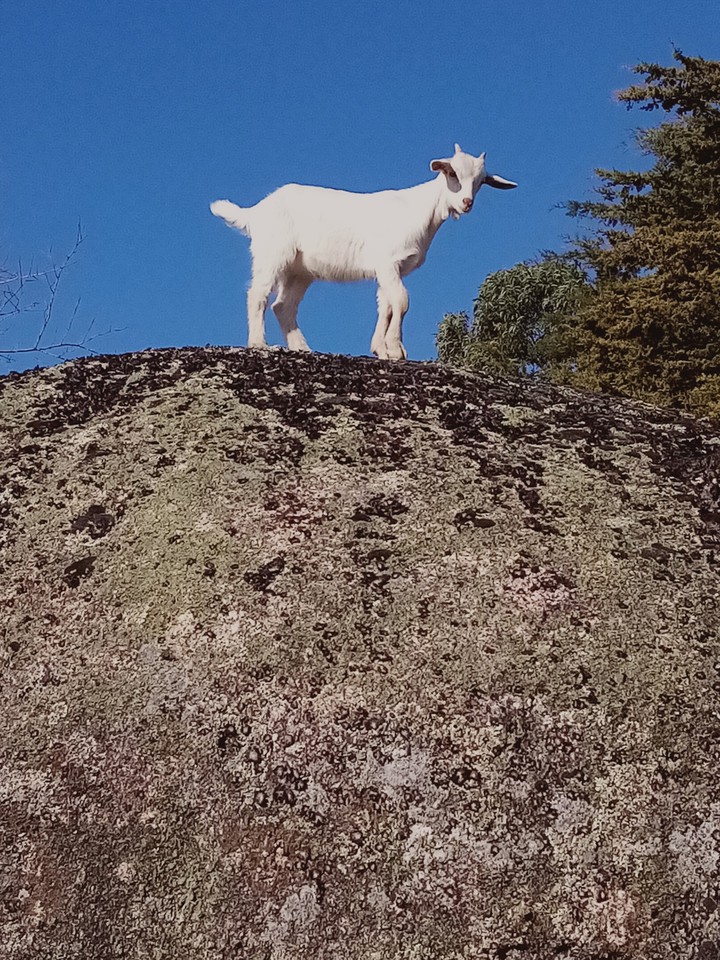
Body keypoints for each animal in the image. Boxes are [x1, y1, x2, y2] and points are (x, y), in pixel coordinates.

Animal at [210, 144, 516, 360]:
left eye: (481, 182)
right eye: (451, 173)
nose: (466, 203)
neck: (422, 210)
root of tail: (255, 212)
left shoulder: (389, 269)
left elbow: (387, 305)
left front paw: (381, 349)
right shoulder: (388, 261)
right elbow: (402, 301)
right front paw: (395, 349)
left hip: (300, 270)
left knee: (283, 305)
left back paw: (302, 347)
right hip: (273, 252)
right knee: (258, 294)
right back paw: (259, 344)